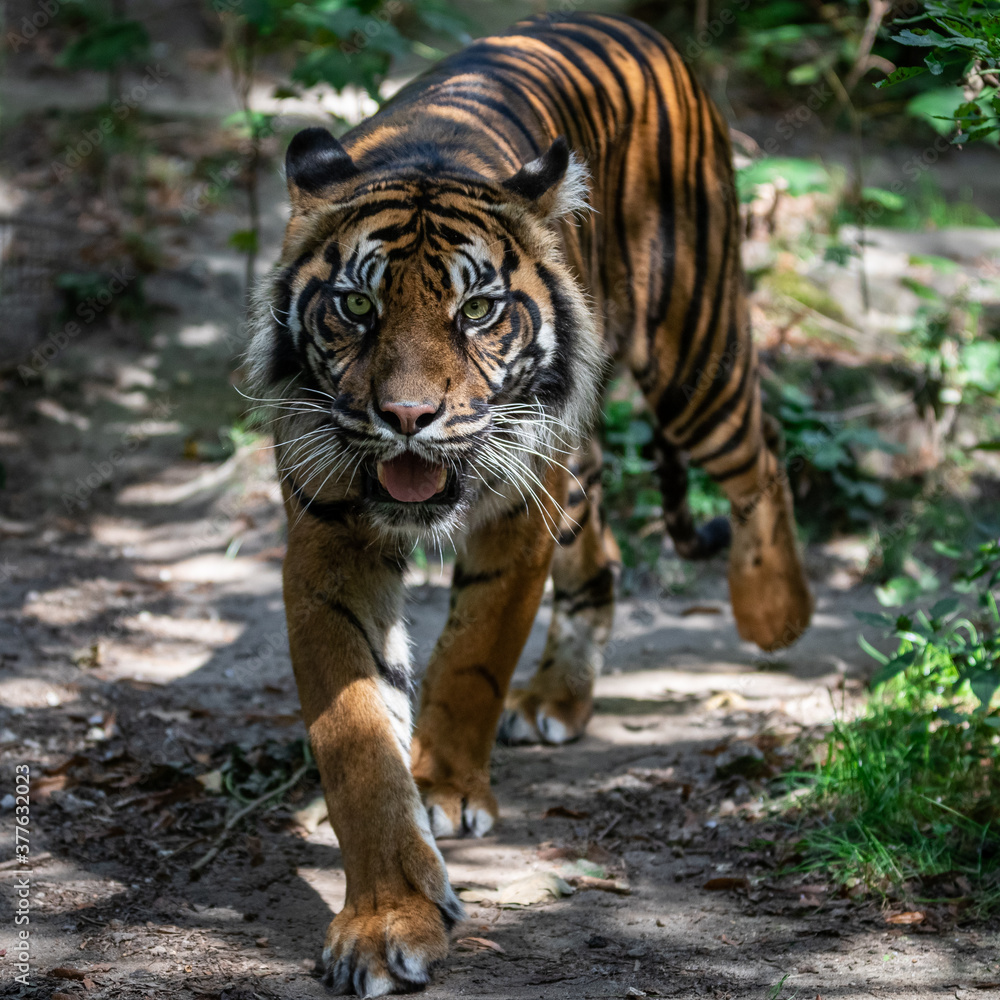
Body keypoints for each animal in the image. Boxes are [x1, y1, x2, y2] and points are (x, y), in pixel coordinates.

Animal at [247, 10, 813, 996]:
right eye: (355, 307)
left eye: (476, 311)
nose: (407, 417)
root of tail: (634, 25)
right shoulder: (328, 543)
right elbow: (356, 743)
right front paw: (387, 918)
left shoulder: (518, 510)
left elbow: (475, 652)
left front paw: (442, 787)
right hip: (583, 467)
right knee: (608, 557)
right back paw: (560, 695)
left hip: (692, 355)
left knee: (763, 454)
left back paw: (776, 612)